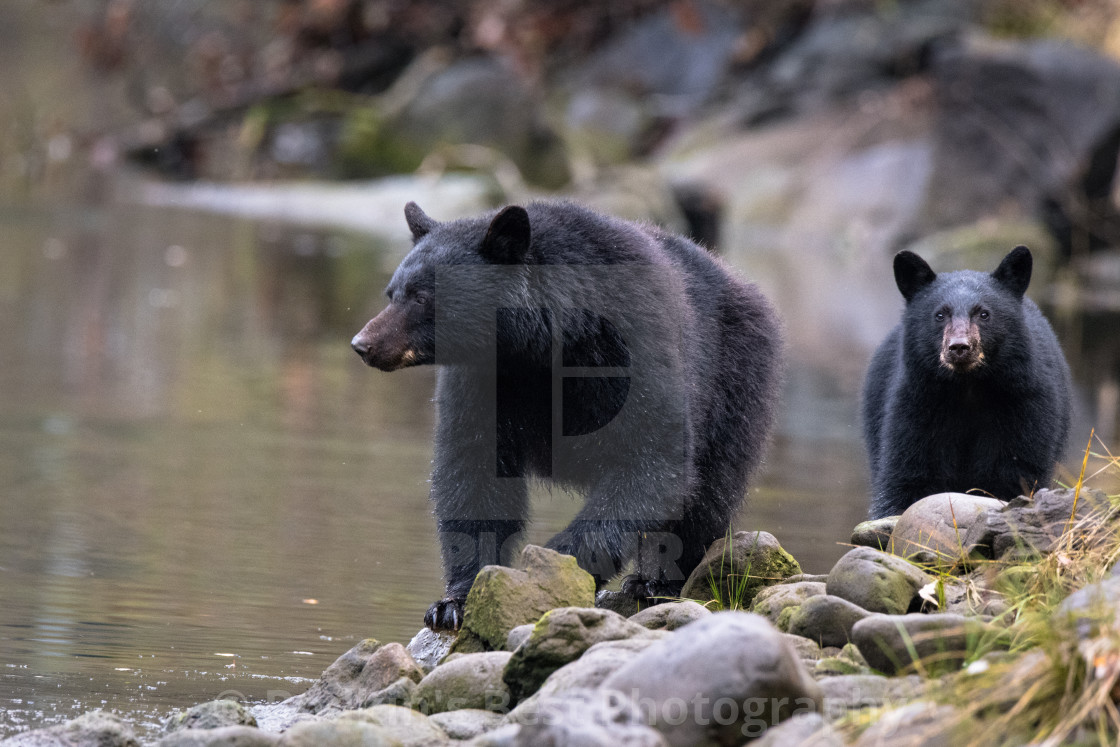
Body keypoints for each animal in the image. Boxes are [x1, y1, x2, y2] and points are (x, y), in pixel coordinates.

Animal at [353, 200, 784, 631]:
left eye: (422, 296)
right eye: (392, 292)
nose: (363, 344)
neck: (549, 343)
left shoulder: (639, 347)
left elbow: (651, 460)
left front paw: (550, 570)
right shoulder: (485, 378)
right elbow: (473, 472)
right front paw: (454, 602)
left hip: (735, 380)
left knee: (711, 491)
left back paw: (657, 581)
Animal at [860, 245, 1070, 519]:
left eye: (984, 313)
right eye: (940, 314)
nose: (959, 347)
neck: (967, 385)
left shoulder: (1023, 402)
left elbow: (1017, 468)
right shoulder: (917, 401)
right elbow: (908, 468)